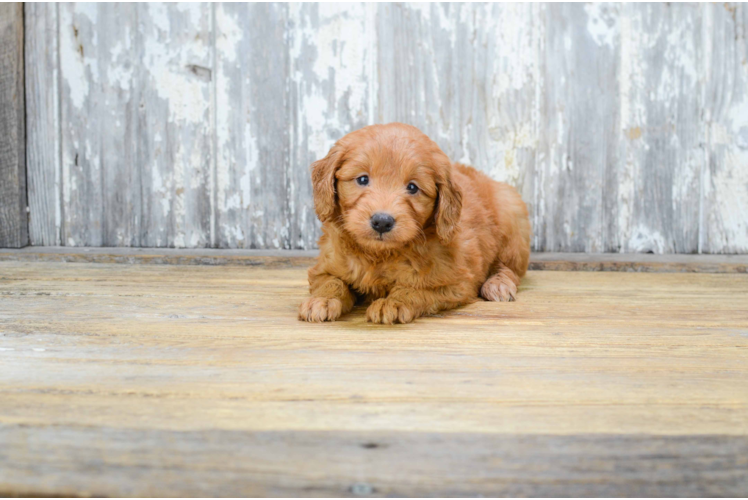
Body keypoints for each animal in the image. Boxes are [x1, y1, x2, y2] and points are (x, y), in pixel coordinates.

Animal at [298, 121, 532, 324]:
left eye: (412, 187)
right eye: (362, 179)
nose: (382, 222)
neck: (379, 254)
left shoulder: (456, 282)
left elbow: (415, 289)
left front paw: (392, 303)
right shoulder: (324, 266)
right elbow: (331, 281)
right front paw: (322, 300)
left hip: (512, 217)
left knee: (509, 268)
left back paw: (498, 284)